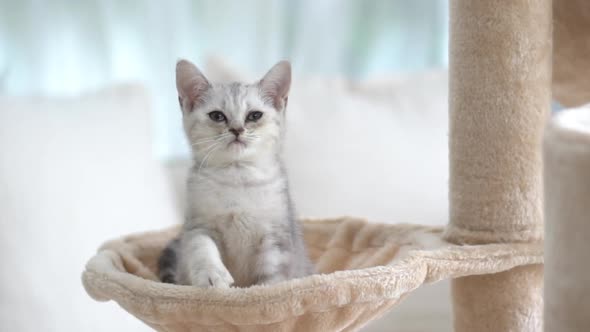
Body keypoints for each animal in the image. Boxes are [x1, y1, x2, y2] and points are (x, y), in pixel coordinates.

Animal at [157, 58, 314, 286]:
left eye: (254, 115)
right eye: (217, 116)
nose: (237, 129)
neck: (237, 178)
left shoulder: (277, 237)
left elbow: (273, 276)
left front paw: (262, 290)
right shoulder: (198, 225)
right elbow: (201, 247)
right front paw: (212, 274)